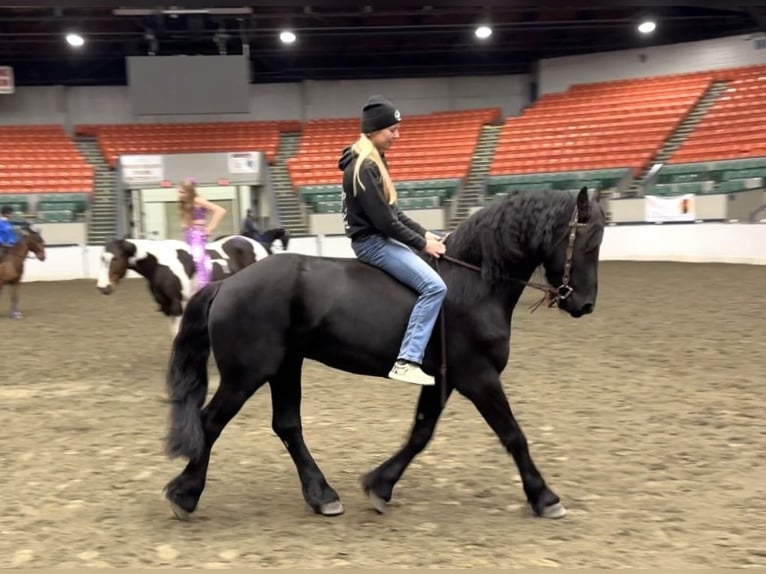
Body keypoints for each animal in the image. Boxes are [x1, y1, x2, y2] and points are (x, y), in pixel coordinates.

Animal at [96, 235, 269, 336]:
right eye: (102, 258)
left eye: (116, 258)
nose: (103, 287)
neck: (160, 263)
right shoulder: (167, 307)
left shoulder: (177, 306)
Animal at [162, 186, 605, 522]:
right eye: (588, 243)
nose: (584, 304)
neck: (475, 283)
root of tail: (227, 284)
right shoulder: (478, 376)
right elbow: (513, 435)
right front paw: (545, 497)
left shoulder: (443, 378)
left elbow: (421, 433)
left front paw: (380, 486)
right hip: (247, 373)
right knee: (210, 422)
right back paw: (185, 494)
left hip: (284, 367)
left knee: (287, 426)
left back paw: (322, 496)